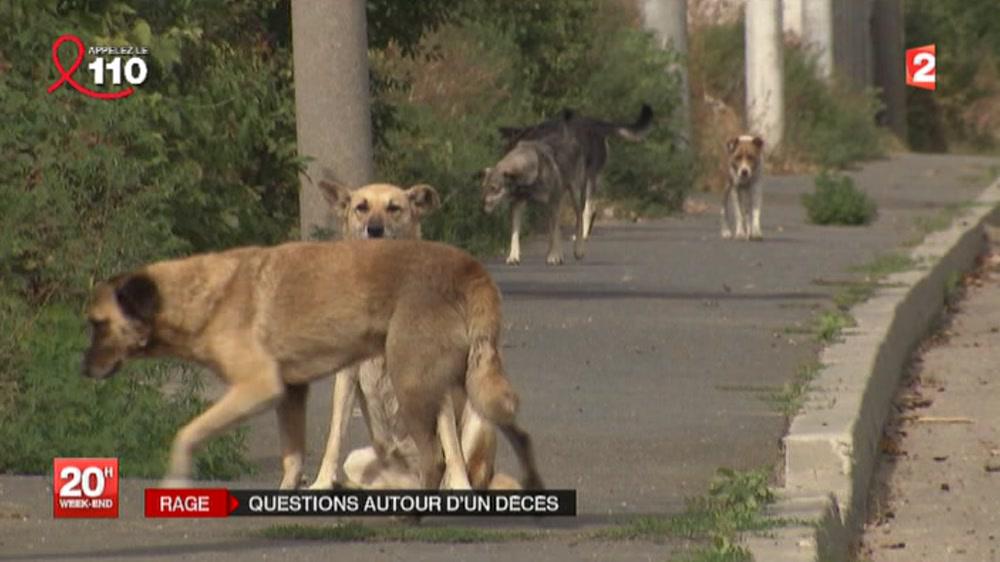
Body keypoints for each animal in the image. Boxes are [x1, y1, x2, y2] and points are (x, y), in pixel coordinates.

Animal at [81, 238, 544, 492]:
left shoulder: (256, 388)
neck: (200, 295)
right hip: (459, 385)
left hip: (414, 383)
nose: (82, 370)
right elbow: (292, 458)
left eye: (98, 324)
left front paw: (176, 477)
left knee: (438, 456)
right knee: (497, 440)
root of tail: (466, 265)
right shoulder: (290, 394)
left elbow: (187, 433)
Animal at [308, 180, 520, 490]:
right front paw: (322, 481)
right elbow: (334, 435)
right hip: (361, 459)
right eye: (361, 207)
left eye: (394, 208)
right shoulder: (347, 375)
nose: (374, 229)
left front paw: (459, 484)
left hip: (478, 415)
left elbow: (452, 447)